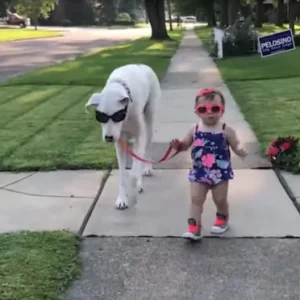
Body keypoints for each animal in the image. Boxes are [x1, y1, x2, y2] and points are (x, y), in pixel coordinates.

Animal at [85, 63, 161, 209]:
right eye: (101, 117)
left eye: (117, 115)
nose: (108, 138)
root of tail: (143, 65)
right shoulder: (119, 143)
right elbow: (122, 173)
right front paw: (122, 198)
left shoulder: (139, 137)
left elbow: (133, 172)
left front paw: (134, 190)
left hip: (149, 118)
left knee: (147, 147)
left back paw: (147, 170)